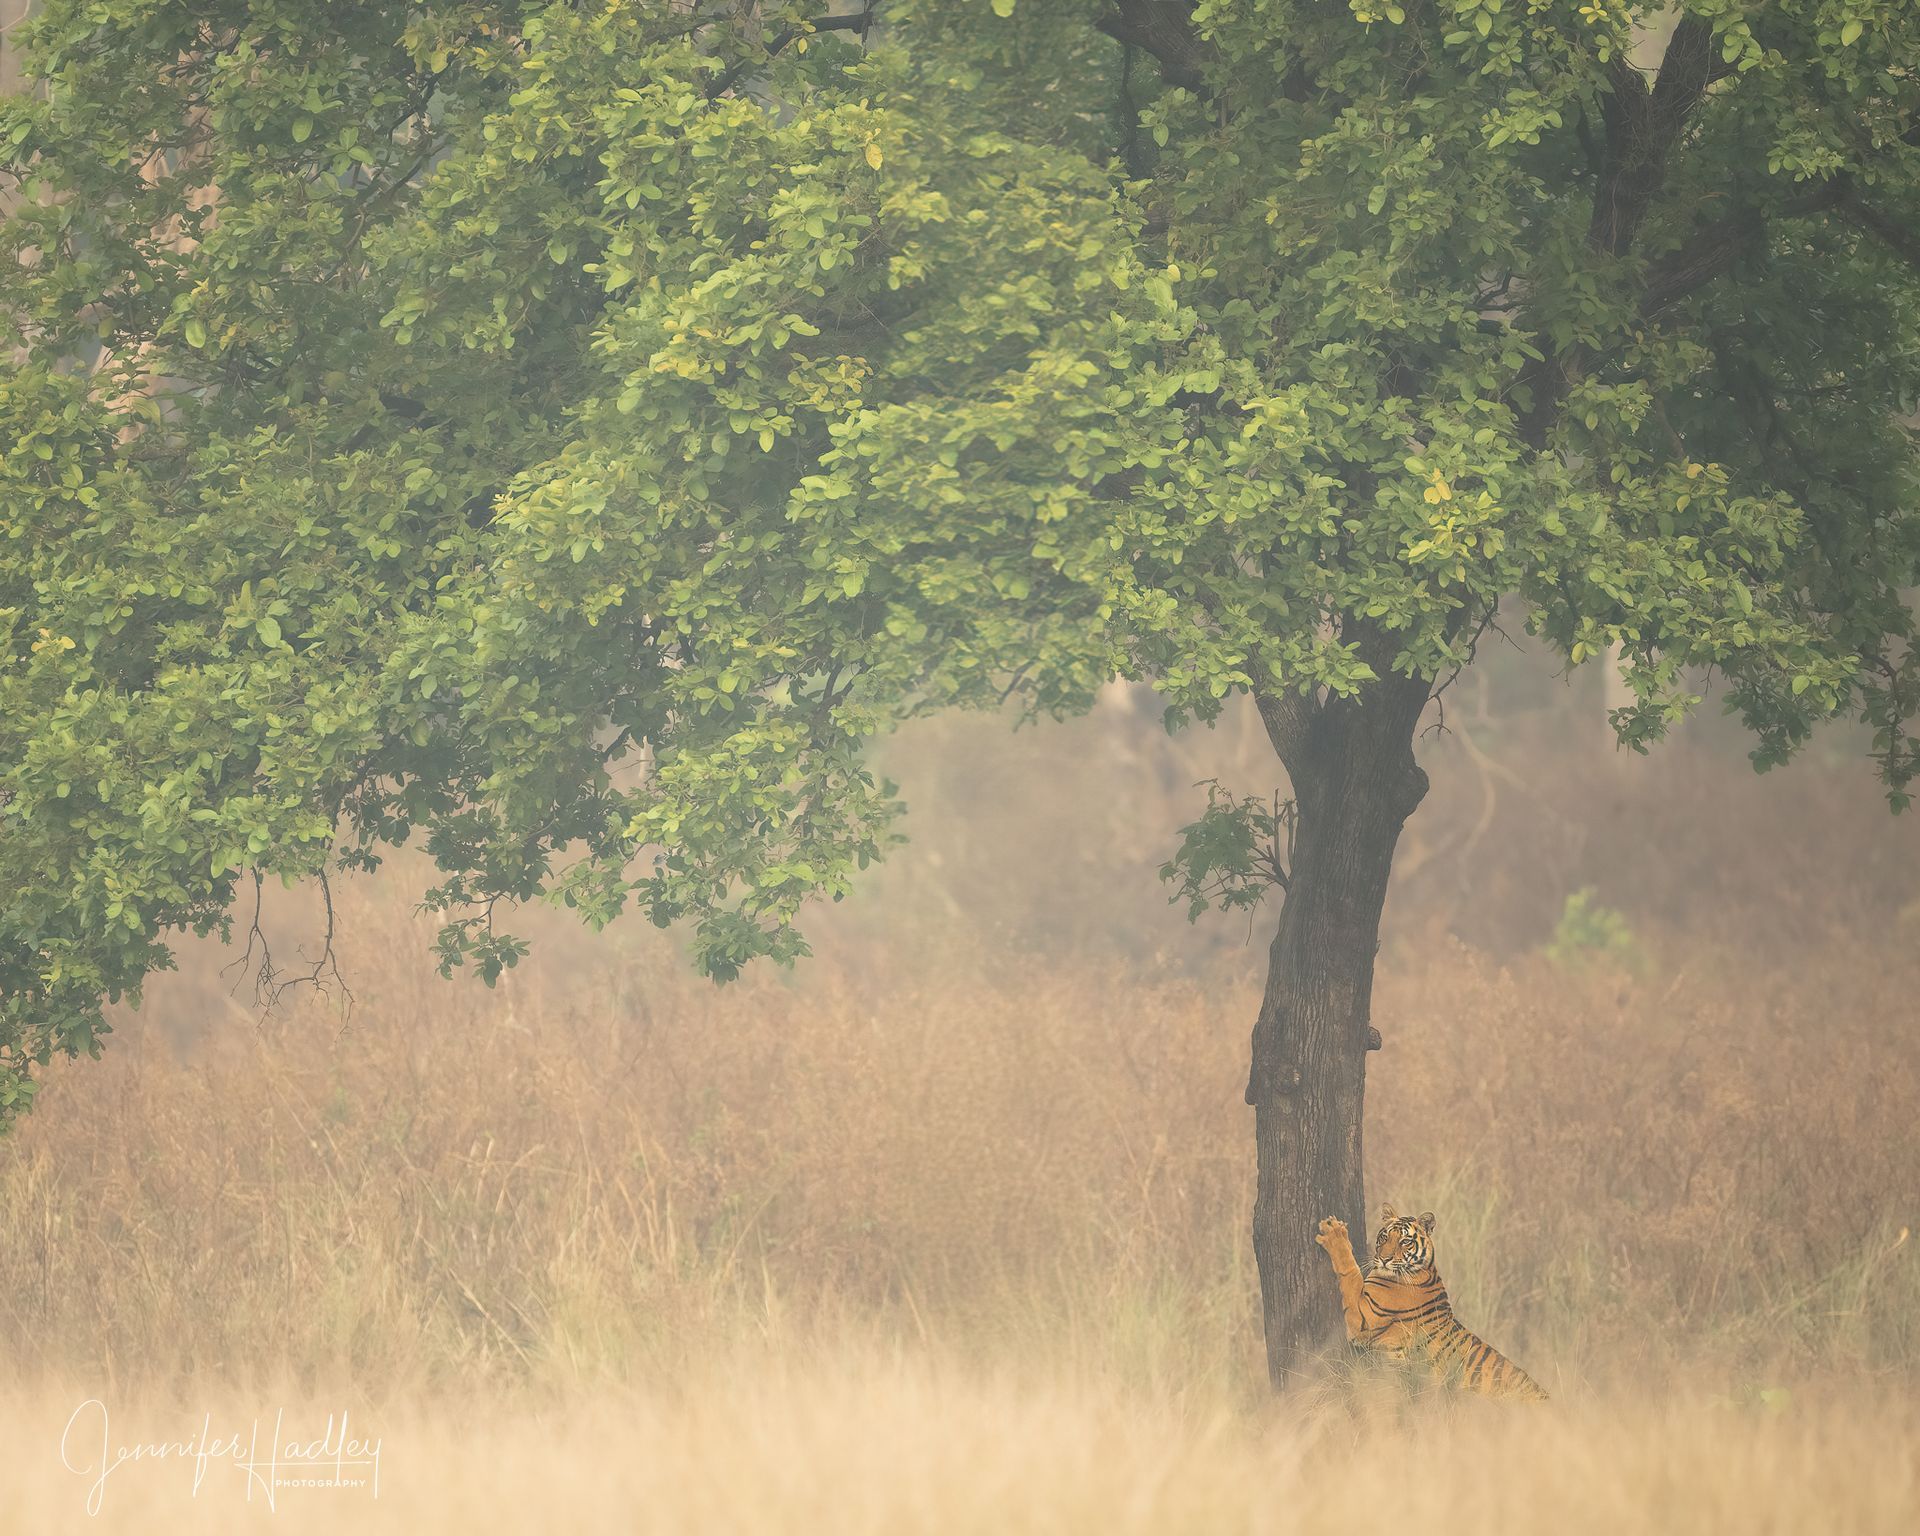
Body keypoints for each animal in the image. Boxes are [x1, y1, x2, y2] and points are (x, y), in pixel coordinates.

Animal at [1312, 1204, 1548, 1401]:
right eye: (1384, 1237)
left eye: (1405, 1241)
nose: (1384, 1259)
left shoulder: (1363, 1320)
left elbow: (1349, 1272)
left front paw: (1333, 1232)